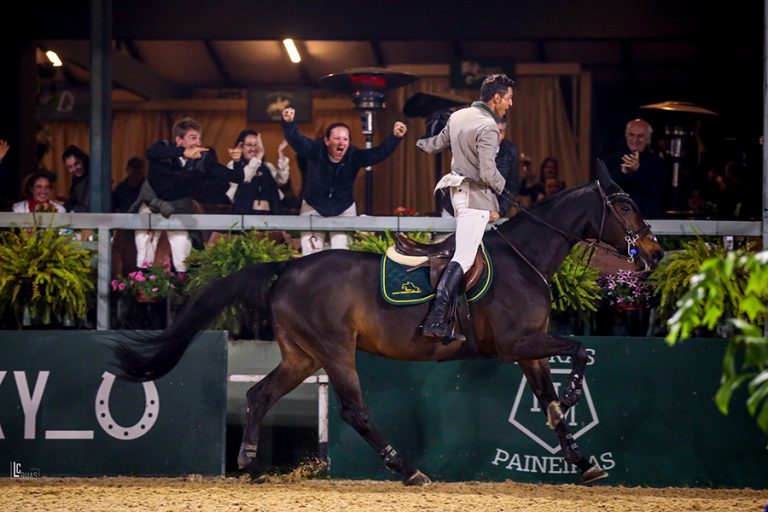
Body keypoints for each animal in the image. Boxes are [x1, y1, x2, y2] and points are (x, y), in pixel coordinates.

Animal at [111, 163, 664, 484]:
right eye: (626, 205)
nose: (655, 253)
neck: (524, 258)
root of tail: (288, 267)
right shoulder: (518, 343)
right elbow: (578, 351)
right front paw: (572, 398)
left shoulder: (529, 351)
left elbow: (551, 400)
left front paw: (583, 461)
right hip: (335, 351)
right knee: (354, 411)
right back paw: (408, 469)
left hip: (302, 355)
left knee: (259, 395)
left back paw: (248, 464)